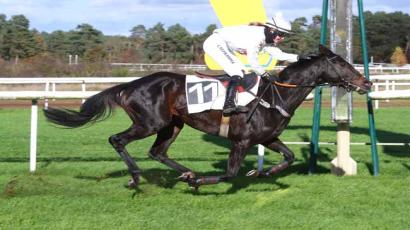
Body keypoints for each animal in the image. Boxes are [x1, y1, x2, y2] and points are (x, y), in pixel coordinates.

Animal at [44, 45, 372, 189]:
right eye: (342, 64)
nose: (367, 83)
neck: (275, 95)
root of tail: (129, 85)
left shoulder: (269, 137)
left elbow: (289, 157)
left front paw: (262, 173)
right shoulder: (240, 141)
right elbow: (230, 173)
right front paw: (203, 181)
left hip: (172, 124)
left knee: (158, 151)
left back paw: (186, 173)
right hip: (150, 122)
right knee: (117, 140)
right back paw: (137, 177)